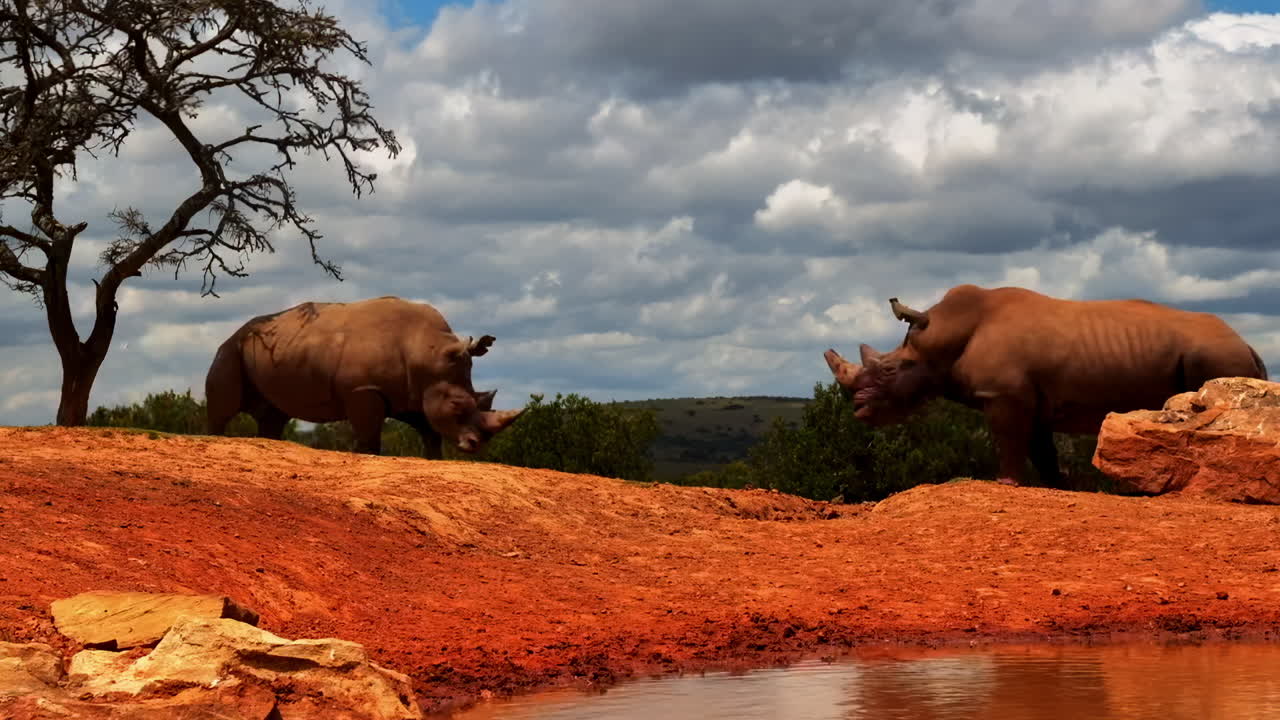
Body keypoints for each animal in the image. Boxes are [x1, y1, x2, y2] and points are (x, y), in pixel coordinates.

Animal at [205, 296, 524, 457]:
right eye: (457, 406)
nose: (477, 445)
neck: (428, 351)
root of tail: (237, 331)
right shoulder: (363, 390)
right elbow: (370, 436)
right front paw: (368, 455)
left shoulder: (412, 394)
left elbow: (430, 432)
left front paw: (435, 458)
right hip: (231, 348)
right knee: (223, 407)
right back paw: (214, 438)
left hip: (273, 347)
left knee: (273, 415)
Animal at [824, 284, 1269, 488]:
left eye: (889, 371)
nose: (858, 408)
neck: (943, 337)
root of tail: (1248, 343)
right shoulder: (1030, 397)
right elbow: (1042, 450)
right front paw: (1057, 486)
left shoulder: (1004, 394)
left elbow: (1009, 440)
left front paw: (1004, 484)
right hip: (1220, 352)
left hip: (1215, 353)